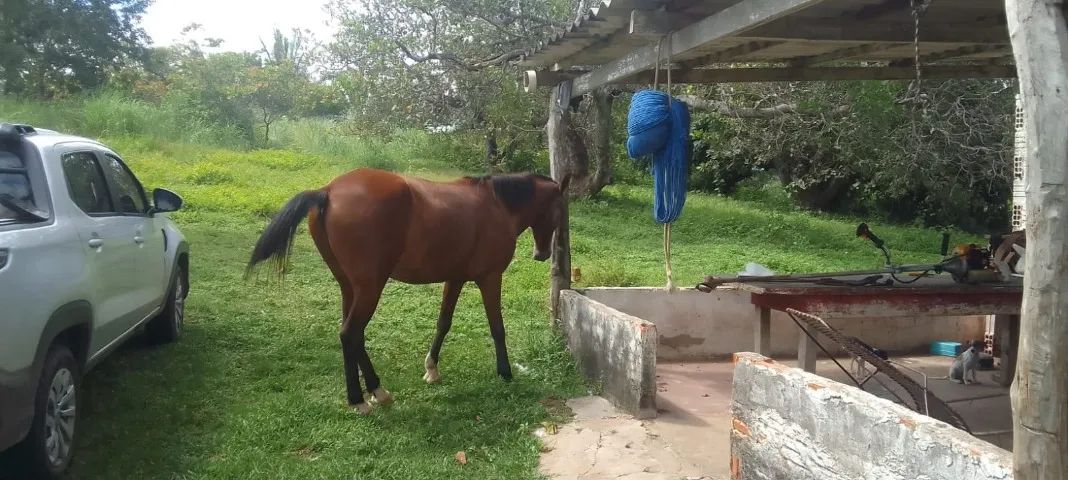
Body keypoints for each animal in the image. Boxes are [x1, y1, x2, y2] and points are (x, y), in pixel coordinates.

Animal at [246, 168, 569, 414]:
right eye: (559, 211)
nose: (541, 254)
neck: (497, 205)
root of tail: (327, 191)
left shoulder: (455, 278)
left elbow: (443, 323)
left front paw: (432, 368)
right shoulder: (489, 278)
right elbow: (497, 327)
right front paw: (505, 371)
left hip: (350, 287)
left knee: (353, 336)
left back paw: (377, 390)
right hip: (370, 287)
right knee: (350, 334)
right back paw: (360, 399)